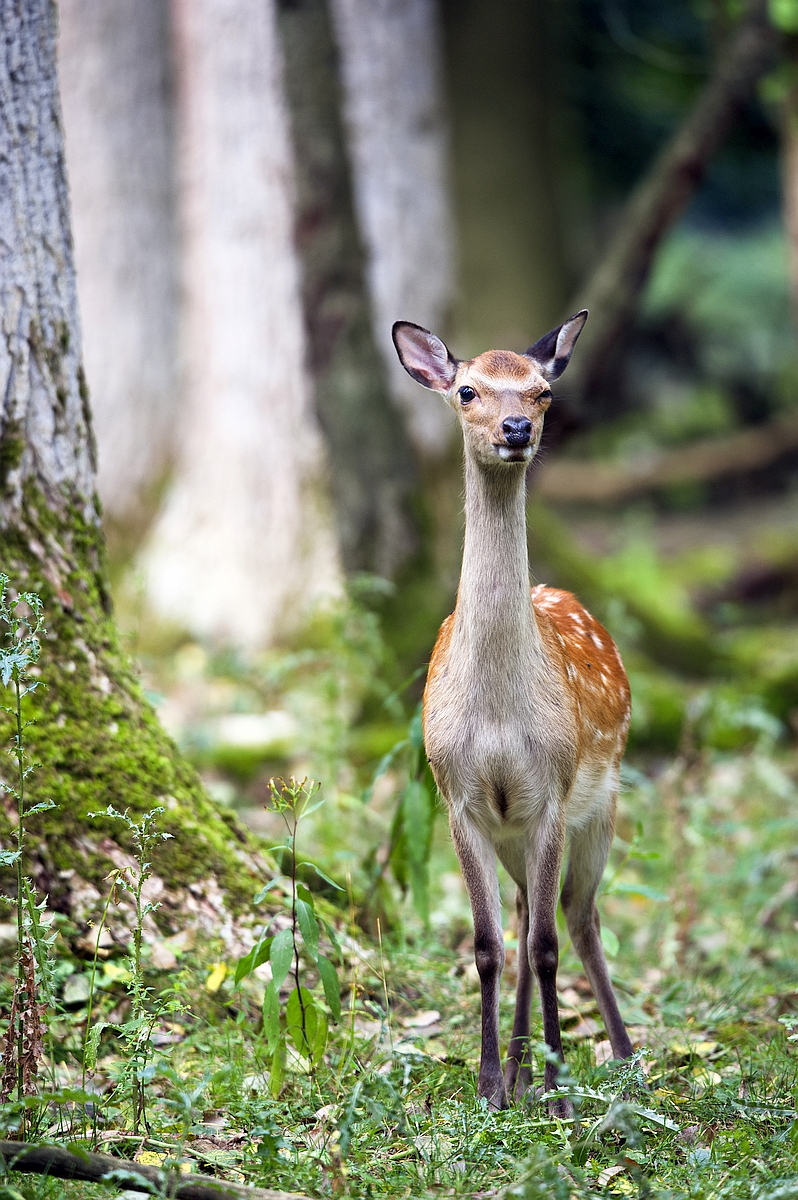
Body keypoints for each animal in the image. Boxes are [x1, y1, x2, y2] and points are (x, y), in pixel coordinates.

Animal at [392, 311, 634, 1115]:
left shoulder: (552, 793)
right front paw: (492, 1084)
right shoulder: (461, 799)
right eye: (467, 389)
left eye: (543, 390)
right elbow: (488, 945)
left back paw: (622, 1057)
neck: (498, 719)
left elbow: (546, 945)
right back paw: (526, 1068)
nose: (517, 427)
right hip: (512, 833)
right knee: (531, 914)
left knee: (579, 918)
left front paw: (557, 1093)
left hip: (601, 805)